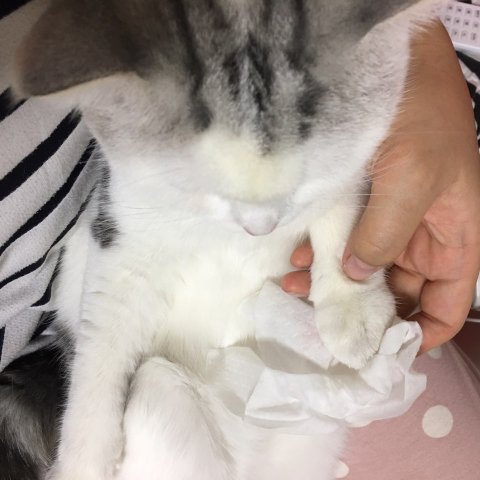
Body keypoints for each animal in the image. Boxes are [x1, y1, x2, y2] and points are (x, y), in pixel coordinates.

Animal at [8, 0, 434, 479]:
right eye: (195, 183)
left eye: (311, 173)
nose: (260, 227)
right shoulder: (123, 227)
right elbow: (105, 328)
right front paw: (85, 455)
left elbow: (342, 195)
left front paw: (351, 302)